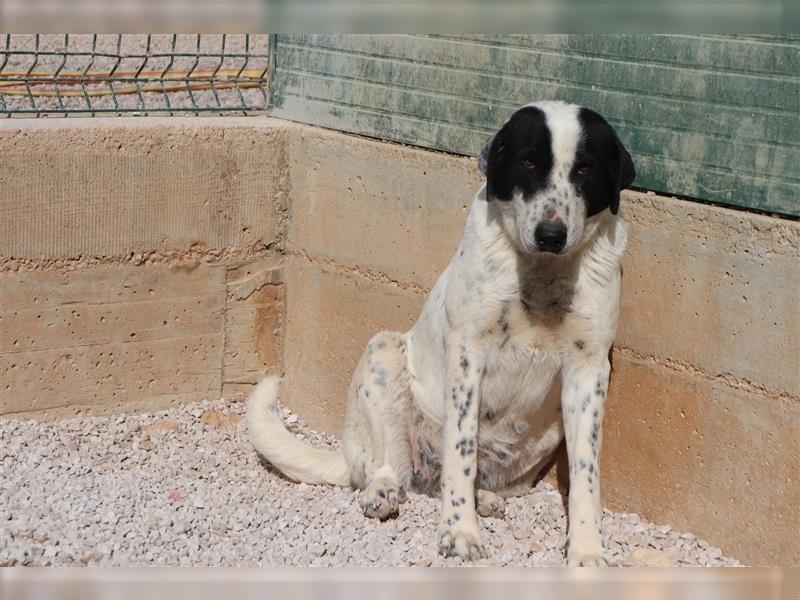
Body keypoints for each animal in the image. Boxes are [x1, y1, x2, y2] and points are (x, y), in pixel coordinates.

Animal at [247, 101, 636, 564]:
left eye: (585, 168)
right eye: (528, 162)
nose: (551, 235)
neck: (541, 275)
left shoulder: (588, 369)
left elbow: (585, 475)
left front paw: (586, 548)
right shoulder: (468, 356)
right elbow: (460, 454)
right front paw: (460, 532)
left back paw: (485, 498)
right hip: (382, 353)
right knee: (386, 466)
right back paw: (384, 490)